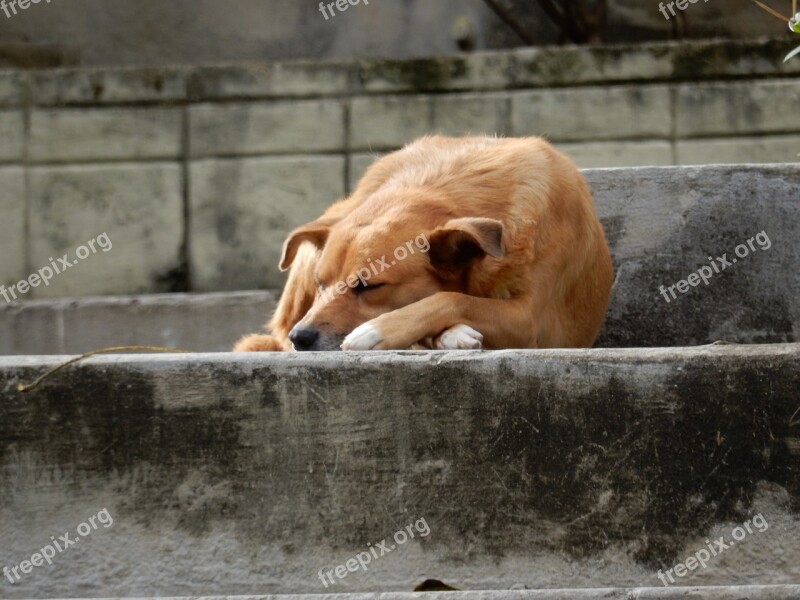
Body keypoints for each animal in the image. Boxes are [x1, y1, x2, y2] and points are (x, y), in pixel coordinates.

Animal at [231, 136, 612, 352]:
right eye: (321, 284)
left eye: (368, 286)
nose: (303, 338)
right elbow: (453, 299)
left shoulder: (528, 318)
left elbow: (450, 297)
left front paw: (376, 331)